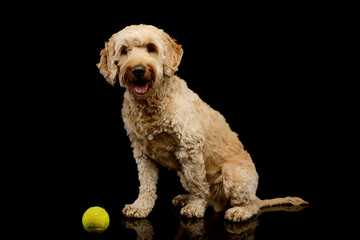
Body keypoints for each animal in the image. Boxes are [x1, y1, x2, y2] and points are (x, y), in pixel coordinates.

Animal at [97, 24, 308, 221]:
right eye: (124, 50)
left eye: (151, 48)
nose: (138, 70)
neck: (152, 105)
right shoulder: (142, 152)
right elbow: (146, 184)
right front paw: (140, 206)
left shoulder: (190, 147)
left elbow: (198, 183)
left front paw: (195, 207)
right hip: (183, 175)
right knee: (209, 196)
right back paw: (186, 198)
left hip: (233, 175)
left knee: (250, 204)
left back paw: (238, 211)